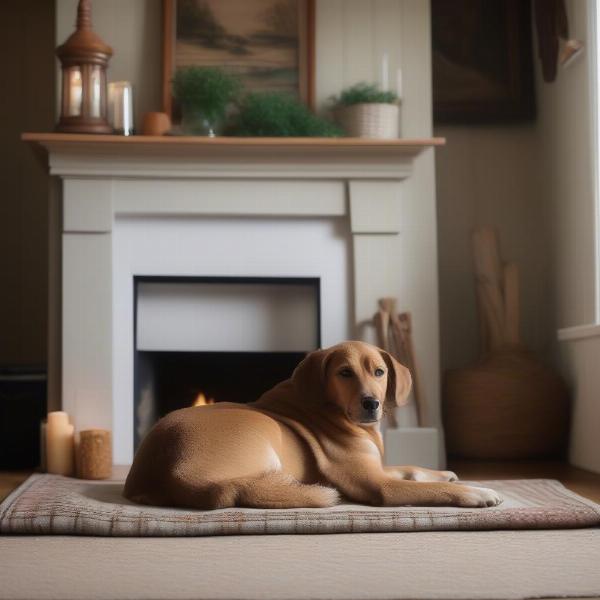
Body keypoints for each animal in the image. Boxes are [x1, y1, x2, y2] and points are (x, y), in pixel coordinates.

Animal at [123, 344, 502, 508]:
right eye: (345, 372)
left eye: (379, 372)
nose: (372, 403)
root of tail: (175, 472)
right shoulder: (377, 484)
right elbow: (425, 488)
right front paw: (476, 491)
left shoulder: (378, 467)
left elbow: (409, 468)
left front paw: (444, 472)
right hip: (260, 431)